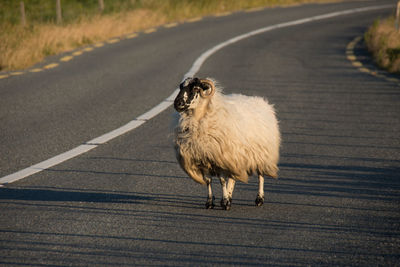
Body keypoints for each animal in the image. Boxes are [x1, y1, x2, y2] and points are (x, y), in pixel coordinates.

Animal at [173, 76, 282, 210]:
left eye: (195, 88)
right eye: (181, 87)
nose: (177, 104)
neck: (200, 118)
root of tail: (263, 102)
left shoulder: (219, 159)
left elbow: (222, 181)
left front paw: (225, 202)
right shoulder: (204, 158)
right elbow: (209, 181)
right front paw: (210, 202)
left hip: (262, 154)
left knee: (260, 176)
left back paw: (259, 199)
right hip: (235, 157)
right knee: (233, 178)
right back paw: (230, 196)